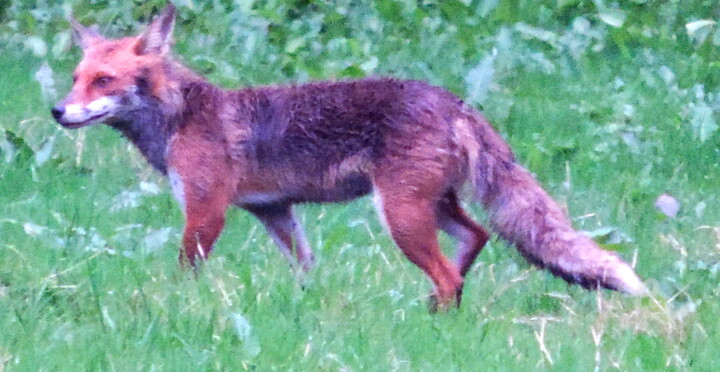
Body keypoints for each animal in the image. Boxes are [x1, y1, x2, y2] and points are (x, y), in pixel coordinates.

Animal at [50, 4, 648, 310]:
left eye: (104, 81)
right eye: (76, 78)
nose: (57, 111)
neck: (180, 117)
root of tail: (453, 100)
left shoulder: (206, 210)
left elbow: (185, 273)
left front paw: (178, 308)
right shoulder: (274, 210)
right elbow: (305, 267)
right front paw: (304, 312)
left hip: (401, 215)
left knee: (449, 273)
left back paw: (436, 326)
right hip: (433, 208)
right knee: (473, 242)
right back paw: (440, 315)